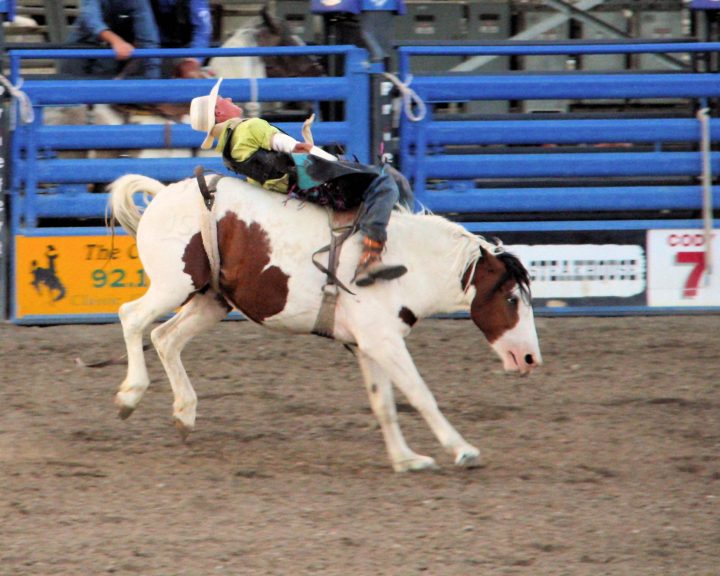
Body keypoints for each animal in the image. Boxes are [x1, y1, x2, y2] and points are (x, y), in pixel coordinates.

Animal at [109, 176, 540, 472]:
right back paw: (130, 395)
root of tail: (165, 193)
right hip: (173, 285)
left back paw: (184, 415)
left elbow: (383, 403)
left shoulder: (368, 345)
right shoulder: (384, 342)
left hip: (211, 300)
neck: (405, 262)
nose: (530, 358)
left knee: (165, 337)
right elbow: (420, 395)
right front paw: (462, 450)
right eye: (511, 299)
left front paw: (406, 459)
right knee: (132, 317)